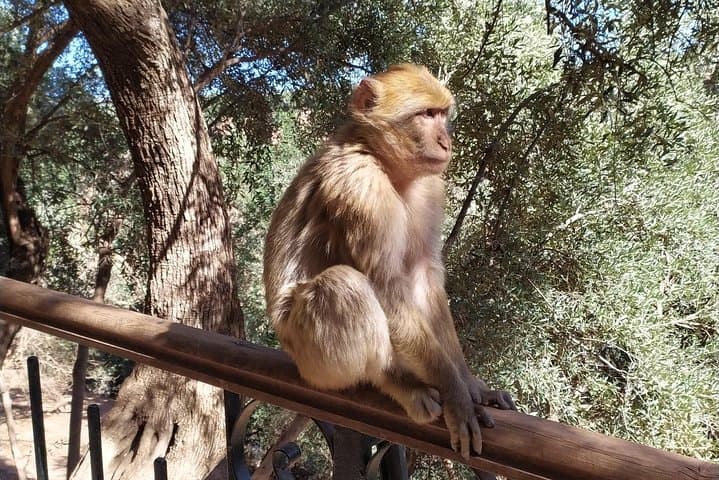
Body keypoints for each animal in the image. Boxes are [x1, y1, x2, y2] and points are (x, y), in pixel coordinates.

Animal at [263, 64, 515, 459]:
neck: (378, 156)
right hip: (309, 356)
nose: (446, 142)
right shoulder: (361, 187)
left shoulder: (430, 187)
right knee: (344, 285)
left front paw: (469, 384)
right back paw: (391, 380)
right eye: (426, 114)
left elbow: (425, 273)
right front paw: (456, 394)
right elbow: (385, 283)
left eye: (442, 114)